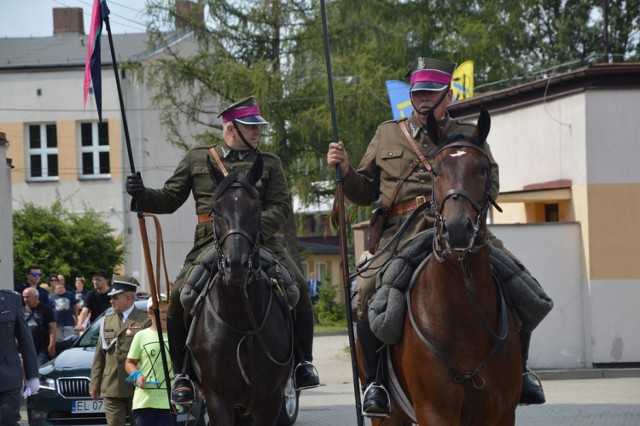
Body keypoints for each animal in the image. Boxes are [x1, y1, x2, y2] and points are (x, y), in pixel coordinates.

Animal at [189, 156, 292, 422]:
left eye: (256, 209)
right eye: (216, 210)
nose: (236, 265)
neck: (242, 317)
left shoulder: (270, 401)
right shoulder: (217, 399)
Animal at [376, 108, 520, 424]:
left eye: (483, 168)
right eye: (435, 170)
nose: (456, 230)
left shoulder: (503, 412)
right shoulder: (435, 410)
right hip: (387, 416)